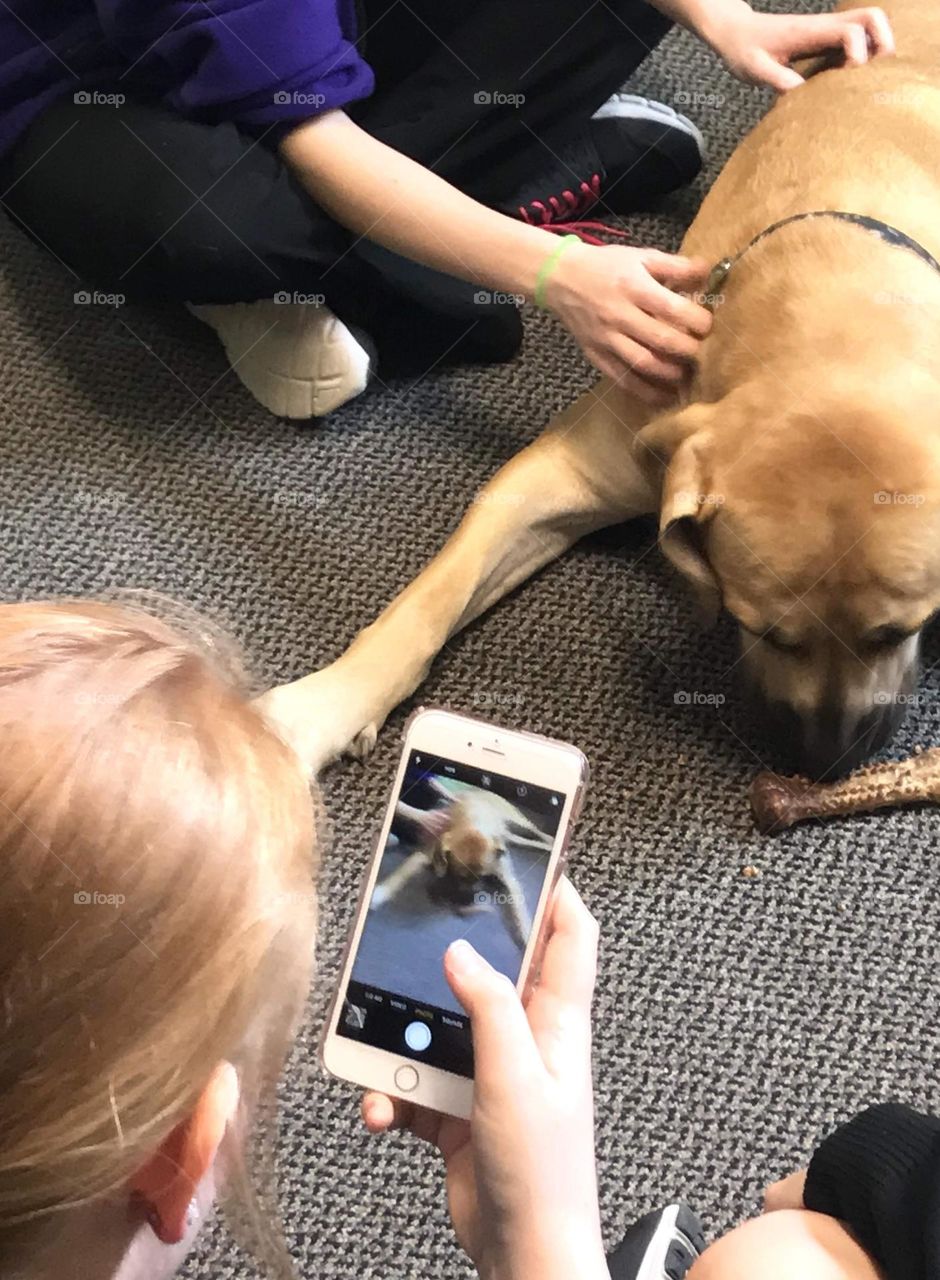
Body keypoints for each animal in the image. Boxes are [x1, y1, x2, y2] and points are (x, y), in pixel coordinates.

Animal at [261, 0, 940, 778]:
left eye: (899, 632)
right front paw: (322, 706)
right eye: (759, 628)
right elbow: (431, 596)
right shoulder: (560, 472)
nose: (822, 764)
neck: (832, 305)